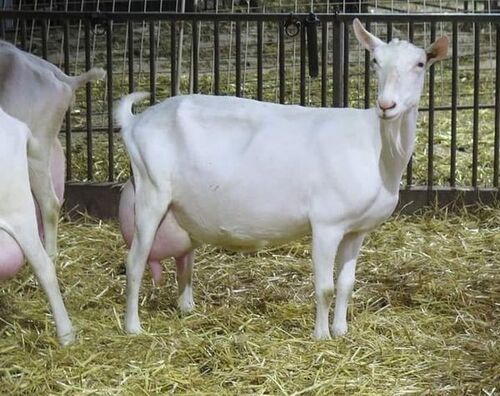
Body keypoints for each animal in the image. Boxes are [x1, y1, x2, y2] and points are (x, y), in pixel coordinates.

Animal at [117, 18, 450, 338]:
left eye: (420, 64)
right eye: (376, 61)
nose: (386, 105)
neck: (378, 149)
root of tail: (135, 122)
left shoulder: (357, 230)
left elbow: (346, 284)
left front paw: (341, 331)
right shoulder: (327, 223)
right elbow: (325, 288)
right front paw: (322, 336)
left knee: (183, 259)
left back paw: (186, 307)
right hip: (151, 190)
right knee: (134, 262)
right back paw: (133, 327)